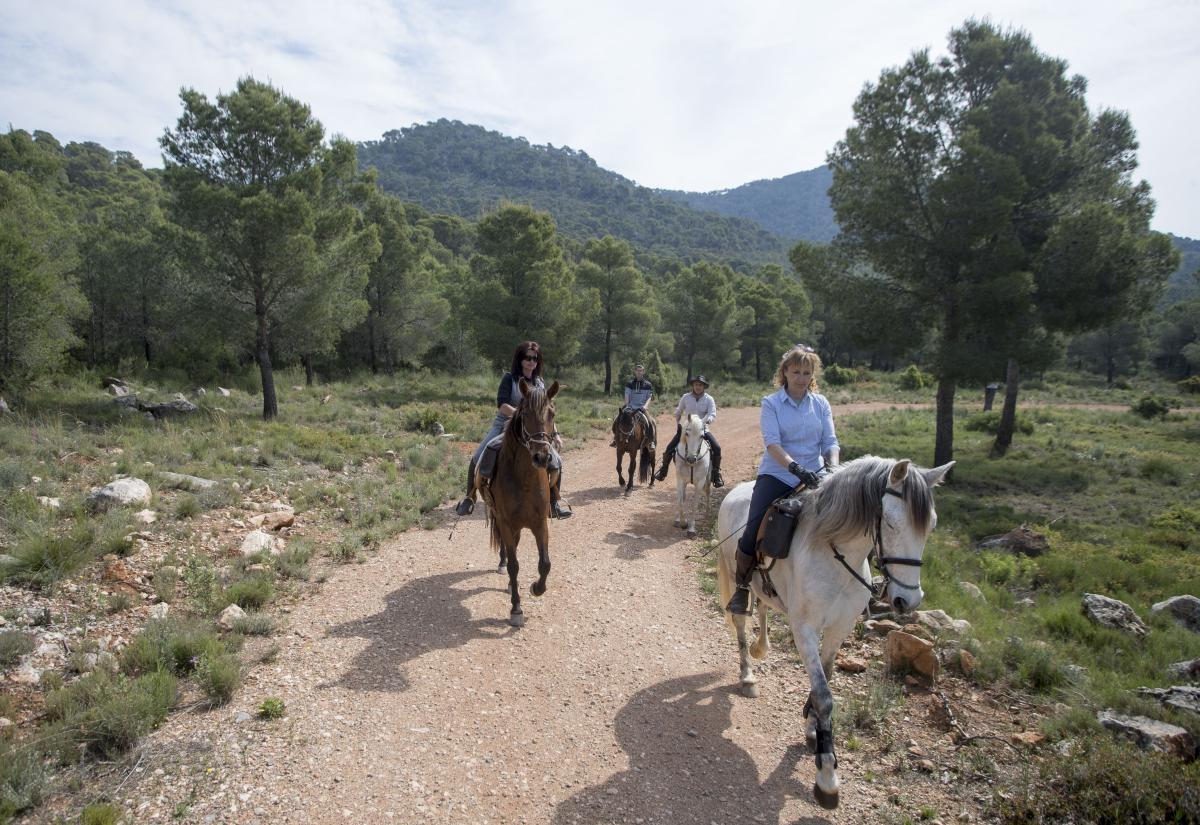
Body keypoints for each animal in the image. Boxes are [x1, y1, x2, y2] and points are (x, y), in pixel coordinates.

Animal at [477, 378, 560, 628]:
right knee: (507, 550)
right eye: (525, 413)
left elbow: (545, 564)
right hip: (502, 520)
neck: (524, 479)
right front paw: (516, 609)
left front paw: (536, 588)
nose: (541, 457)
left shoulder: (540, 523)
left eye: (552, 413)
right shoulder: (506, 522)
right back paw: (503, 566)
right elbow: (514, 565)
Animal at [715, 455, 953, 810]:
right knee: (741, 625)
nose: (908, 600)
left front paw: (813, 727)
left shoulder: (840, 628)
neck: (835, 555)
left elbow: (824, 681)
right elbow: (825, 696)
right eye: (891, 523)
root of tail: (735, 492)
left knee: (762, 609)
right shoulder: (805, 631)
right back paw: (747, 676)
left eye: (931, 525)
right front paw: (826, 774)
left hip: (764, 591)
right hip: (735, 579)